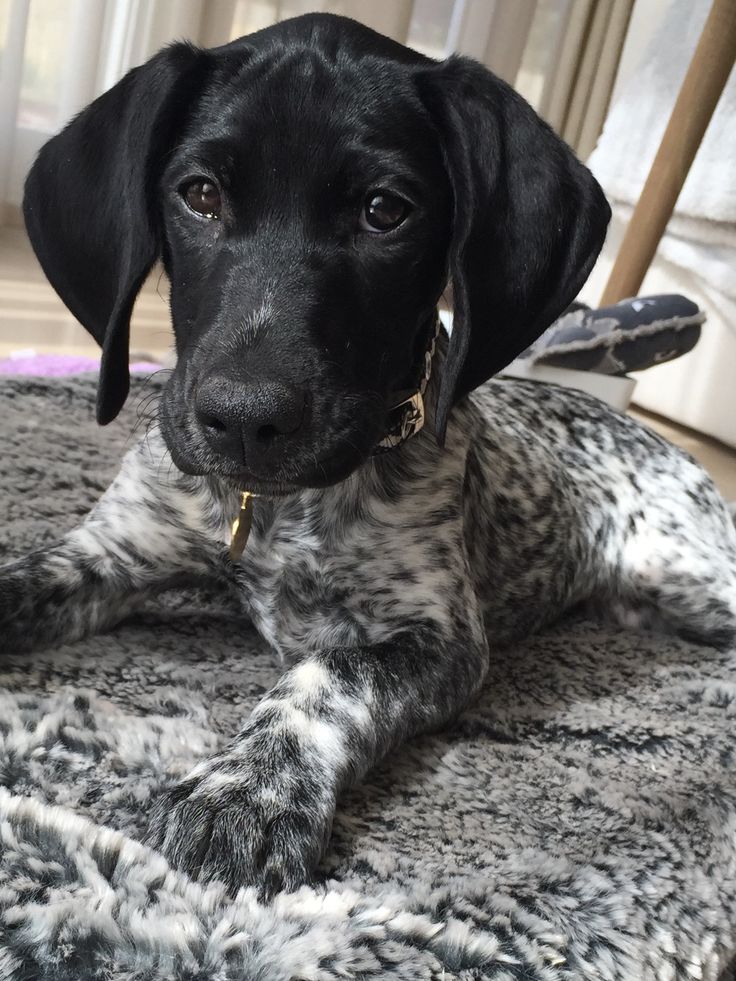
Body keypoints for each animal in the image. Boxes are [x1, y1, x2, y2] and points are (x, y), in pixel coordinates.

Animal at [5, 15, 736, 900]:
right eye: (200, 195)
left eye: (386, 211)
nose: (243, 420)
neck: (270, 509)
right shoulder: (107, 552)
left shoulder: (437, 635)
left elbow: (326, 676)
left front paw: (245, 789)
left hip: (694, 576)